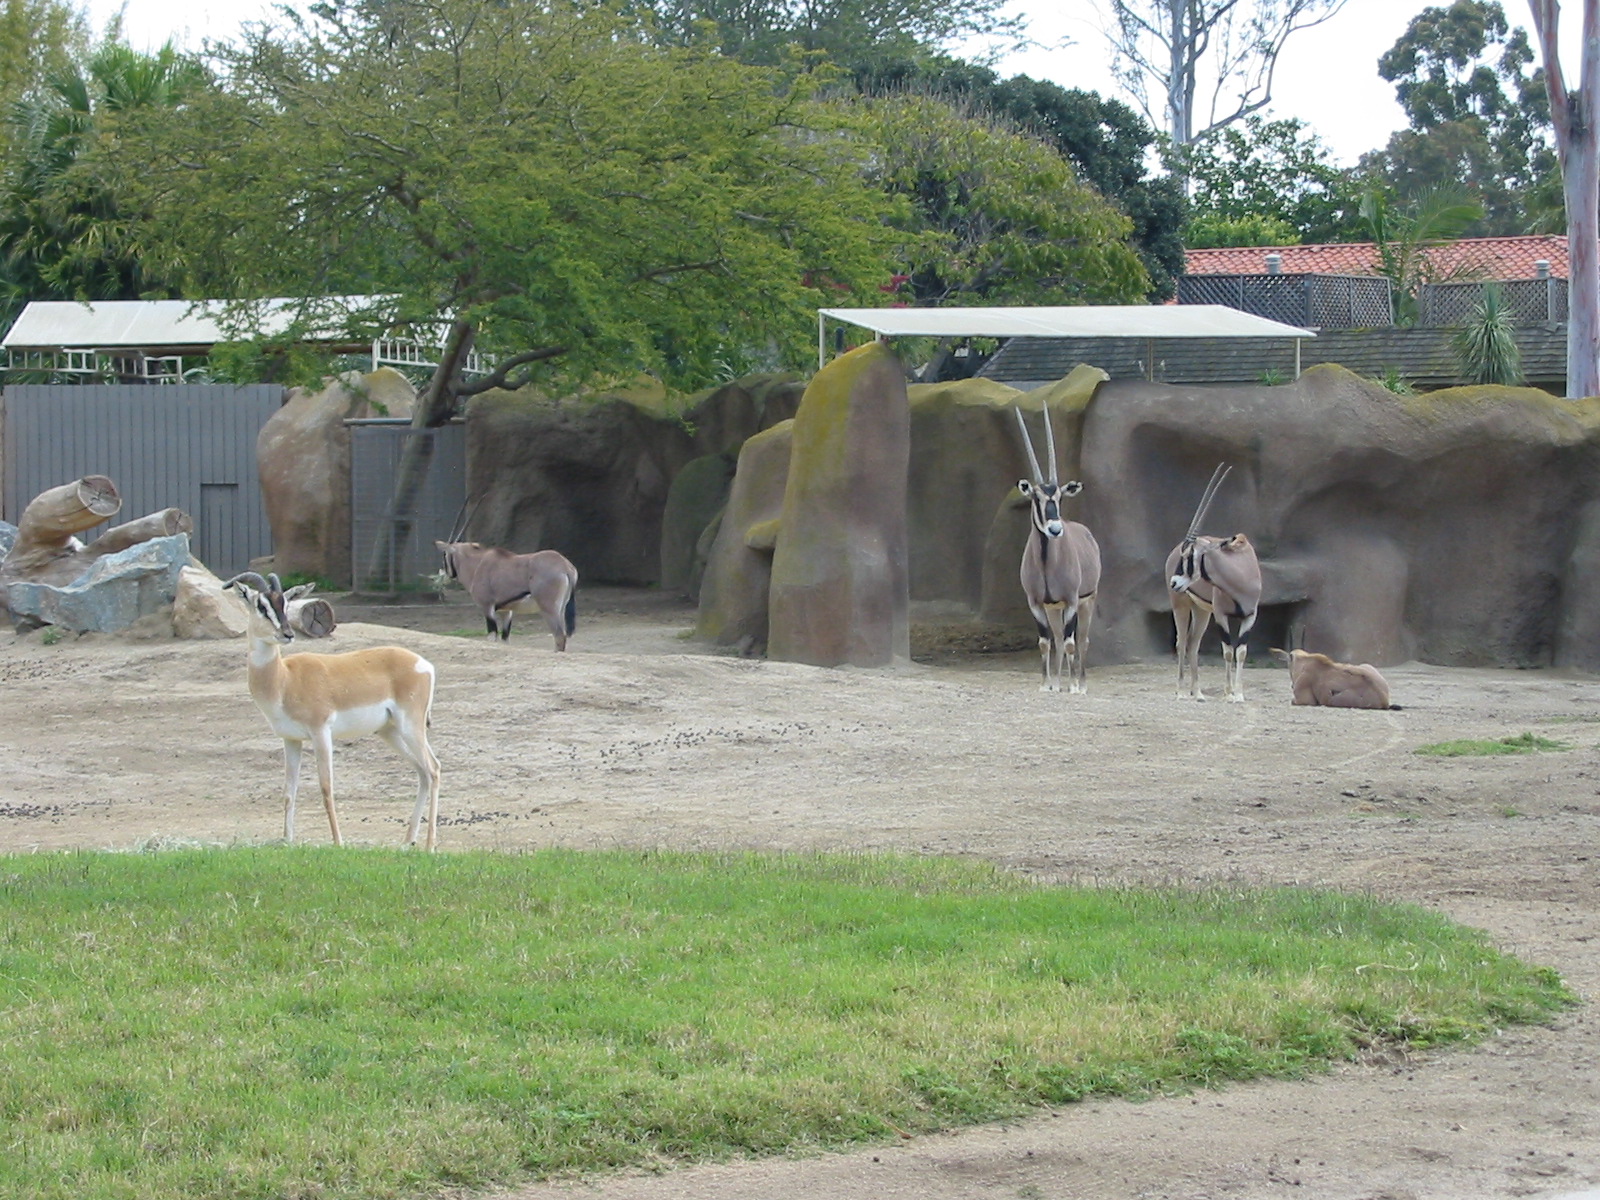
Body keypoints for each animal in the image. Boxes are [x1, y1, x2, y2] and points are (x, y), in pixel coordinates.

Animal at [224, 572, 442, 849]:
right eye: (262, 606)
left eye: (284, 603)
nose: (287, 634)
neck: (284, 679)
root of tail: (423, 664)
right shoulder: (291, 740)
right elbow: (288, 791)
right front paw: (287, 840)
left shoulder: (321, 733)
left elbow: (326, 788)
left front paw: (338, 842)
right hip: (390, 732)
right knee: (422, 772)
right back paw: (407, 842)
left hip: (410, 726)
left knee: (433, 769)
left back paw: (430, 846)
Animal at [434, 539, 578, 648]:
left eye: (445, 555)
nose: (443, 574)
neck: (478, 564)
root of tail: (565, 566)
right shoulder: (506, 611)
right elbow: (505, 639)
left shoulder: (487, 607)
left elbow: (492, 636)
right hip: (560, 609)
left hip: (548, 609)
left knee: (559, 636)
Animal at [1012, 405, 1101, 693]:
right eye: (1036, 497)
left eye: (1060, 497)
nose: (1054, 529)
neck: (1045, 561)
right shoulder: (1036, 603)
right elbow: (1045, 642)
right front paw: (1046, 684)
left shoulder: (1072, 600)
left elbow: (1073, 642)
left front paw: (1073, 686)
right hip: (1054, 609)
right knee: (1060, 639)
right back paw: (1058, 683)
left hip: (1087, 601)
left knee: (1081, 640)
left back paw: (1080, 684)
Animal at [1166, 464, 1262, 703]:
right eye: (1184, 555)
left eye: (1190, 556)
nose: (1174, 581)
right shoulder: (1221, 615)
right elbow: (1227, 651)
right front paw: (1229, 694)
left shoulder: (1250, 615)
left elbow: (1241, 651)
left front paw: (1238, 694)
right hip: (1181, 605)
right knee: (1182, 642)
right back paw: (1181, 691)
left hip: (1201, 611)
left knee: (1193, 644)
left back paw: (1198, 692)